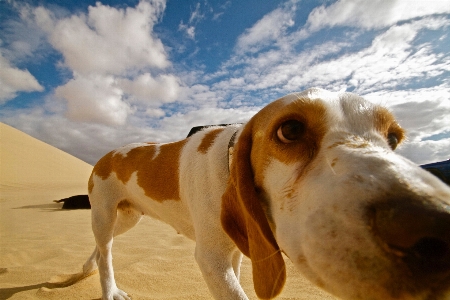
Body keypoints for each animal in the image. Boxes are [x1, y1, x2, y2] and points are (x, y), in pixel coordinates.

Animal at [80, 88, 450, 298]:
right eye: (291, 130)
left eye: (393, 139)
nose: (436, 224)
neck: (227, 162)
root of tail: (106, 155)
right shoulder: (212, 259)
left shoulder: (234, 252)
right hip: (104, 214)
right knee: (106, 252)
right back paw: (109, 290)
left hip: (127, 218)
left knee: (100, 248)